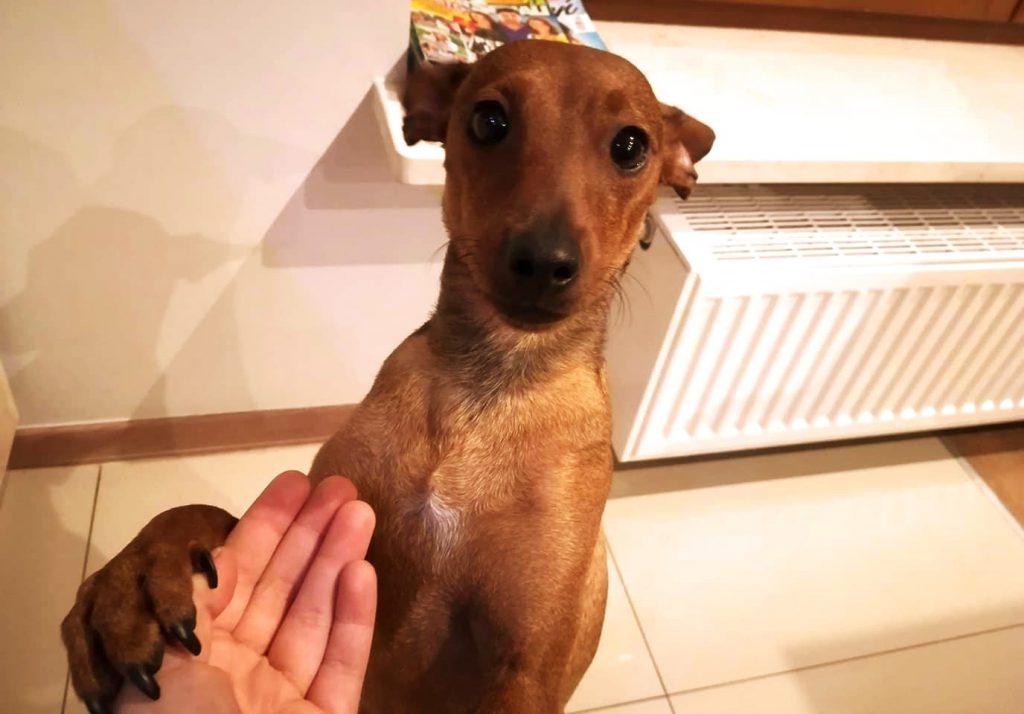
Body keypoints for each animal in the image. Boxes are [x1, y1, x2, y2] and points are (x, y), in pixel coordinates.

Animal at [61, 40, 714, 713]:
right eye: (489, 121)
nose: (542, 261)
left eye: (631, 145)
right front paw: (139, 576)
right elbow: (205, 512)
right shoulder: (326, 516)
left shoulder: (526, 670)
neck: (487, 390)